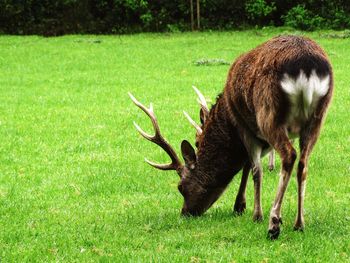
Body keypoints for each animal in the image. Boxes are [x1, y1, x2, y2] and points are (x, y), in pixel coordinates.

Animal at [129, 35, 334, 241]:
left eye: (180, 187)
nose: (185, 213)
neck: (226, 118)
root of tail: (307, 67)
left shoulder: (245, 127)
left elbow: (254, 169)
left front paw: (253, 213)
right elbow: (249, 165)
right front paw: (241, 206)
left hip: (269, 114)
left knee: (289, 155)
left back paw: (273, 224)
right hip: (318, 118)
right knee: (303, 164)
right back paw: (299, 223)